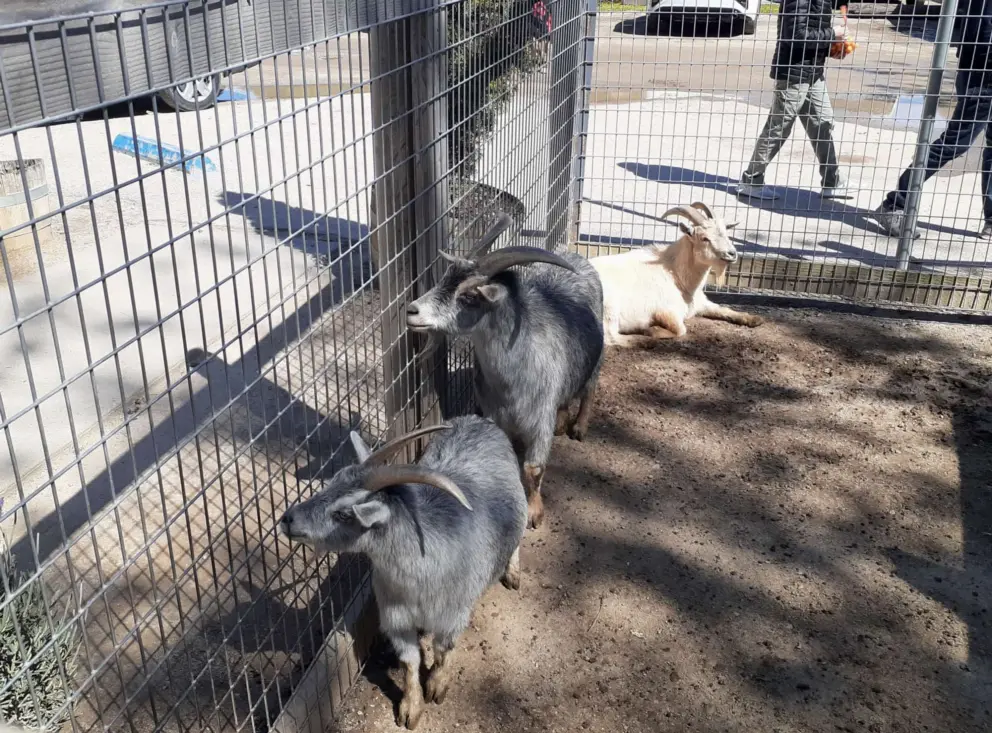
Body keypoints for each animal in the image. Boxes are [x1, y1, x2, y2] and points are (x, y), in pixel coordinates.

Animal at [279, 417, 527, 730]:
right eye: (330, 484)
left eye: (344, 514)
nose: (287, 518)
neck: (417, 582)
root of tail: (478, 420)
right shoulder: (395, 617)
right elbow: (410, 661)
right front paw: (410, 708)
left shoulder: (453, 614)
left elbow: (443, 650)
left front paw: (436, 687)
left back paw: (513, 572)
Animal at [406, 214, 604, 529]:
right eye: (445, 278)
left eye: (469, 295)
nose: (412, 311)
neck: (511, 381)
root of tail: (574, 256)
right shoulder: (494, 414)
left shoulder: (540, 418)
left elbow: (533, 468)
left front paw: (534, 513)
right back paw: (563, 423)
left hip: (596, 357)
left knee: (590, 388)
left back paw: (579, 427)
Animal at [590, 202, 763, 347]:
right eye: (704, 238)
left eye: (727, 234)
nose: (732, 254)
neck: (677, 275)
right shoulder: (666, 311)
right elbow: (681, 330)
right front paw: (651, 329)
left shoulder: (701, 304)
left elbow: (724, 309)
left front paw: (754, 319)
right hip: (610, 307)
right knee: (611, 337)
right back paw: (644, 339)